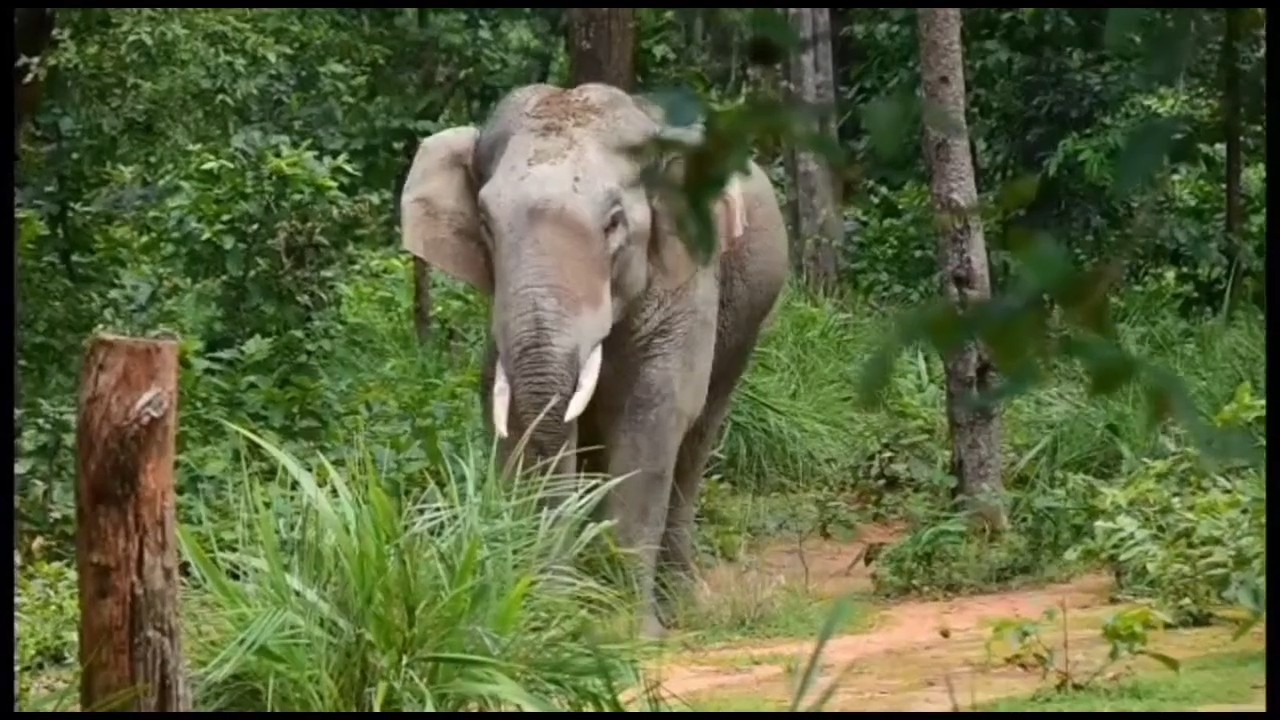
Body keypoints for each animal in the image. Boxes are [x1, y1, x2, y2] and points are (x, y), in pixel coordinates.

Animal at [399, 82, 788, 632]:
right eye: (486, 224)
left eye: (613, 223)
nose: (550, 597)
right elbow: (513, 413)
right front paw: (553, 613)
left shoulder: (687, 280)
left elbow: (653, 414)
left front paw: (626, 629)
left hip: (749, 317)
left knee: (697, 437)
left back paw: (679, 604)